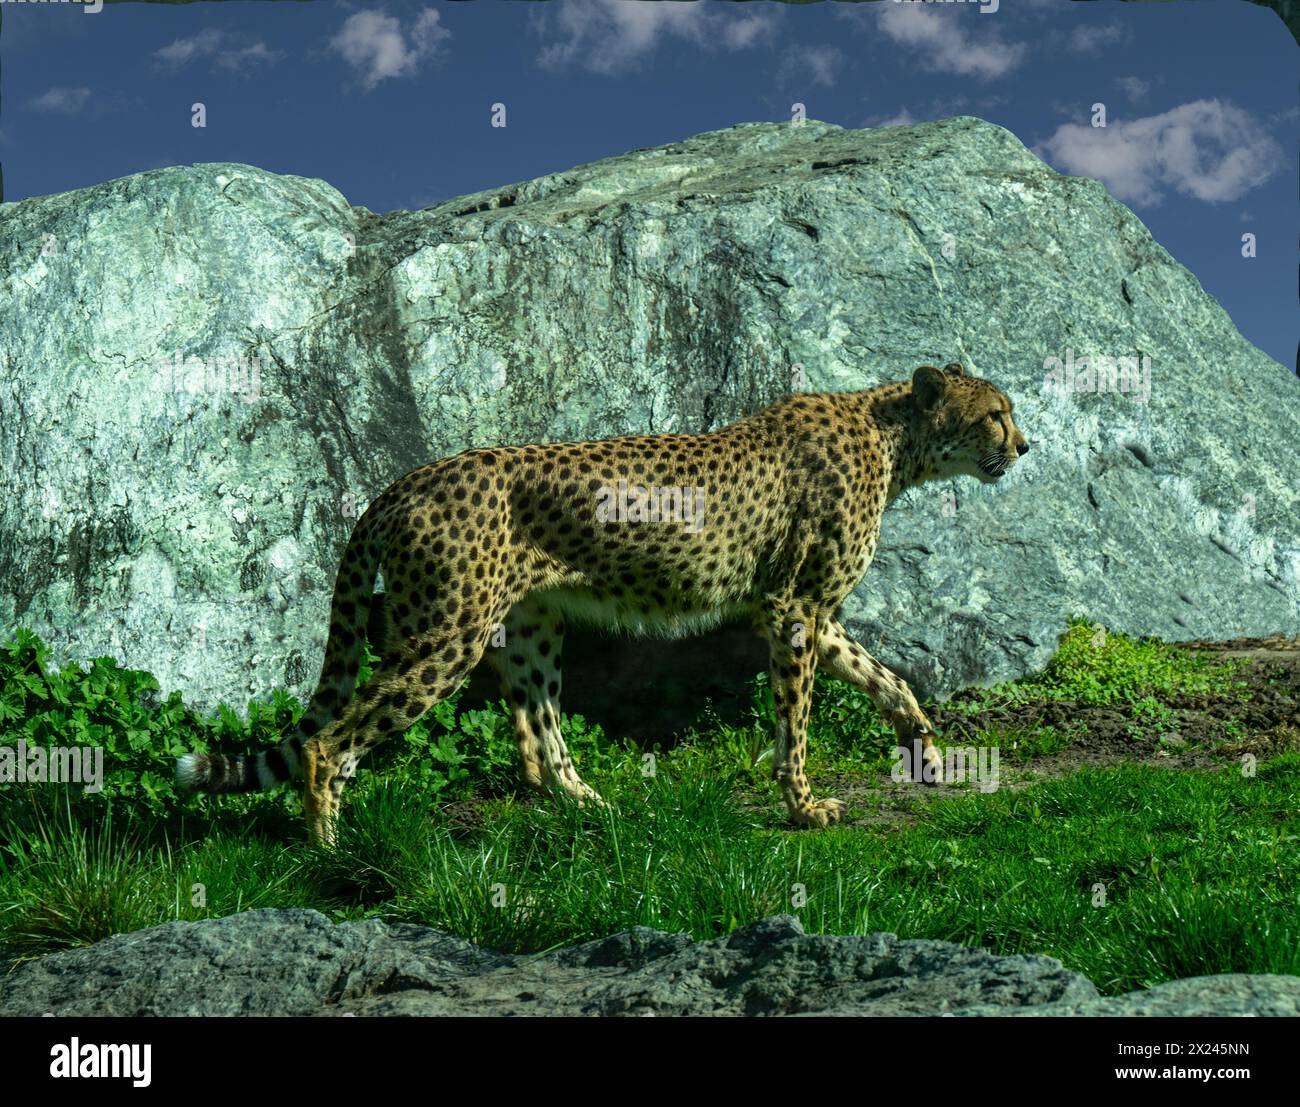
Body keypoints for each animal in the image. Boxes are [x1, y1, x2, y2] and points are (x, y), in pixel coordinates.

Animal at [178, 358, 1024, 841]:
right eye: (995, 412)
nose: (1022, 445)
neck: (894, 435)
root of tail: (411, 477)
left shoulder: (802, 609)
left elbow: (887, 678)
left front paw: (925, 749)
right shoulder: (793, 610)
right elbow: (797, 723)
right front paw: (803, 807)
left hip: (529, 629)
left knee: (539, 738)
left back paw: (594, 806)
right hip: (446, 636)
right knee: (329, 743)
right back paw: (329, 849)